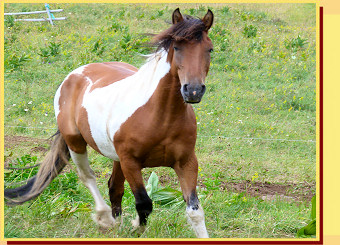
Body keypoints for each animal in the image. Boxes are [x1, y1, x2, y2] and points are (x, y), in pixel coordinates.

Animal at [3, 8, 214, 237]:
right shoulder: (130, 162)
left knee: (114, 187)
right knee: (88, 177)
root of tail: (74, 75)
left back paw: (115, 221)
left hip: (115, 158)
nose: (193, 90)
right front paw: (134, 227)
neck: (161, 117)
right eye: (176, 47)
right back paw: (105, 218)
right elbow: (144, 204)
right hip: (76, 143)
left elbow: (194, 210)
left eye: (210, 49)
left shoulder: (186, 162)